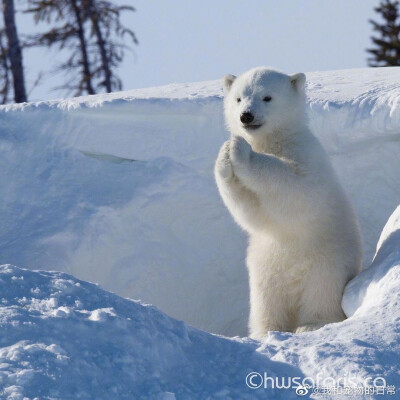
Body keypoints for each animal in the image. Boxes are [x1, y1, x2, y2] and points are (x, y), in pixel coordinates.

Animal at [216, 68, 362, 338]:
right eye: (239, 98)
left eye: (267, 97)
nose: (246, 116)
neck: (274, 140)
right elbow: (251, 211)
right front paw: (225, 155)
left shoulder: (306, 153)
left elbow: (296, 187)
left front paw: (241, 151)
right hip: (265, 268)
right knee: (267, 302)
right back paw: (267, 331)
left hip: (327, 262)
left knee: (321, 293)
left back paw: (311, 324)